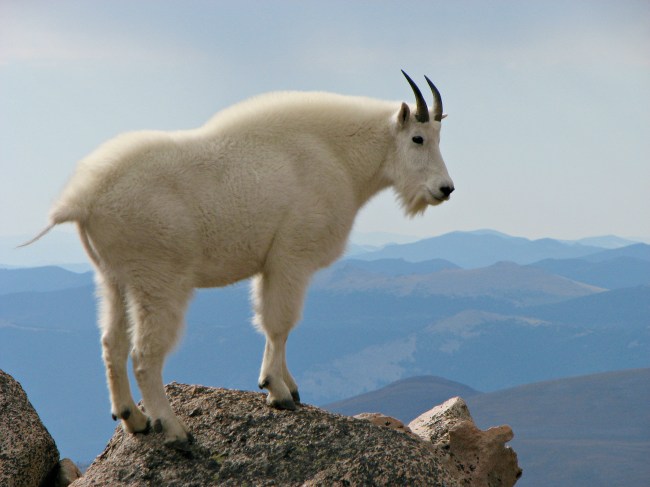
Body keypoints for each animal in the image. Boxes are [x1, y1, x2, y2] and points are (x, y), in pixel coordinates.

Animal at [23, 71, 454, 448]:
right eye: (418, 138)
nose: (445, 189)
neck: (339, 156)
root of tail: (83, 199)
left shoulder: (271, 266)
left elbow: (273, 324)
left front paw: (287, 386)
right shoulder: (290, 258)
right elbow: (280, 323)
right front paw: (277, 391)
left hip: (113, 279)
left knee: (111, 343)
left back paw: (135, 419)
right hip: (160, 279)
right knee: (144, 355)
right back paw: (175, 430)